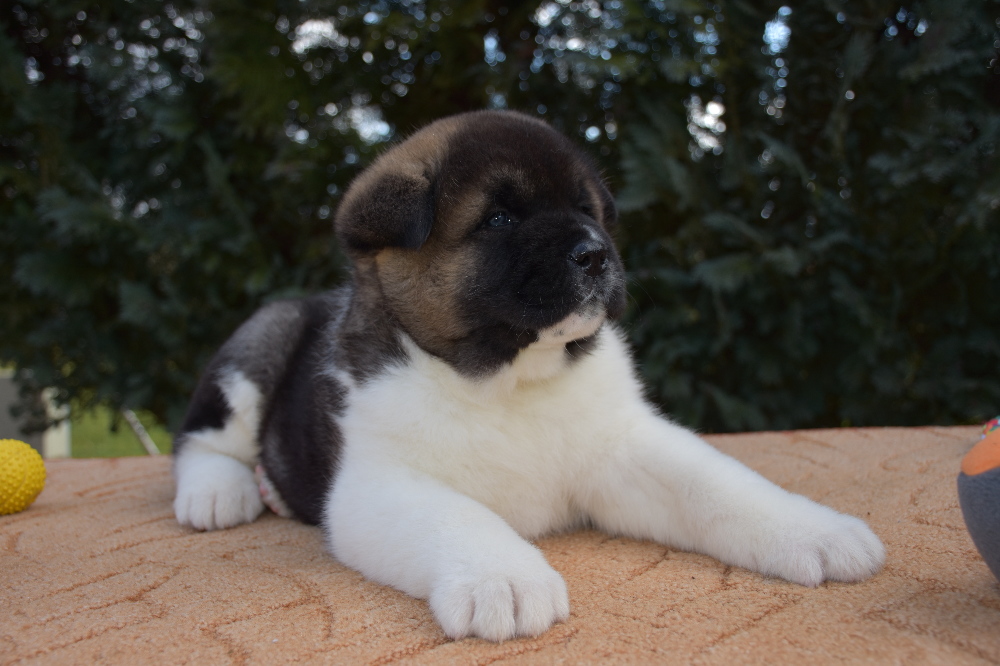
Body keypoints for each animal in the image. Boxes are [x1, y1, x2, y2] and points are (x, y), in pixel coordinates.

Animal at [173, 110, 885, 642]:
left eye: (587, 210)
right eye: (499, 219)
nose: (596, 254)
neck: (509, 379)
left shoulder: (624, 449)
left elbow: (719, 484)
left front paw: (818, 531)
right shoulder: (378, 485)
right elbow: (455, 515)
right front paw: (506, 581)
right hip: (260, 339)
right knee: (200, 436)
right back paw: (218, 493)